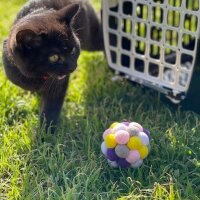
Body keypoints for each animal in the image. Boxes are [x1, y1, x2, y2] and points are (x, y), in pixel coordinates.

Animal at [2, 0, 104, 131]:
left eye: (73, 49)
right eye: (54, 57)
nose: (73, 66)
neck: (38, 76)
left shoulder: (57, 86)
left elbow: (50, 110)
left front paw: (46, 133)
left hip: (92, 39)